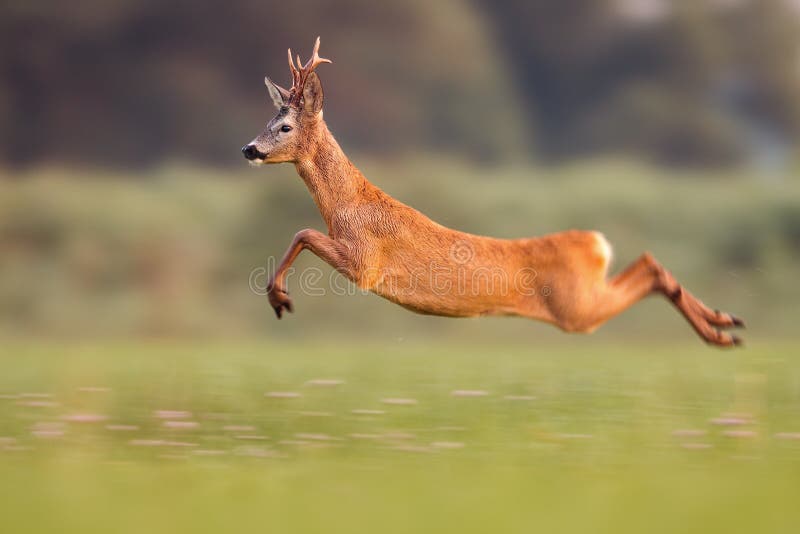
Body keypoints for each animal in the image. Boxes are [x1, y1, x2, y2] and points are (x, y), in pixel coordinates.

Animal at [241, 37, 748, 348]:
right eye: (267, 120)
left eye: (284, 127)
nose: (248, 148)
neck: (348, 205)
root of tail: (595, 243)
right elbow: (303, 232)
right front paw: (277, 296)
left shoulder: (365, 262)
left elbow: (303, 232)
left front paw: (279, 298)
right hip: (583, 299)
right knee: (648, 263)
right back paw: (725, 324)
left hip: (576, 308)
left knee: (648, 268)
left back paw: (721, 331)